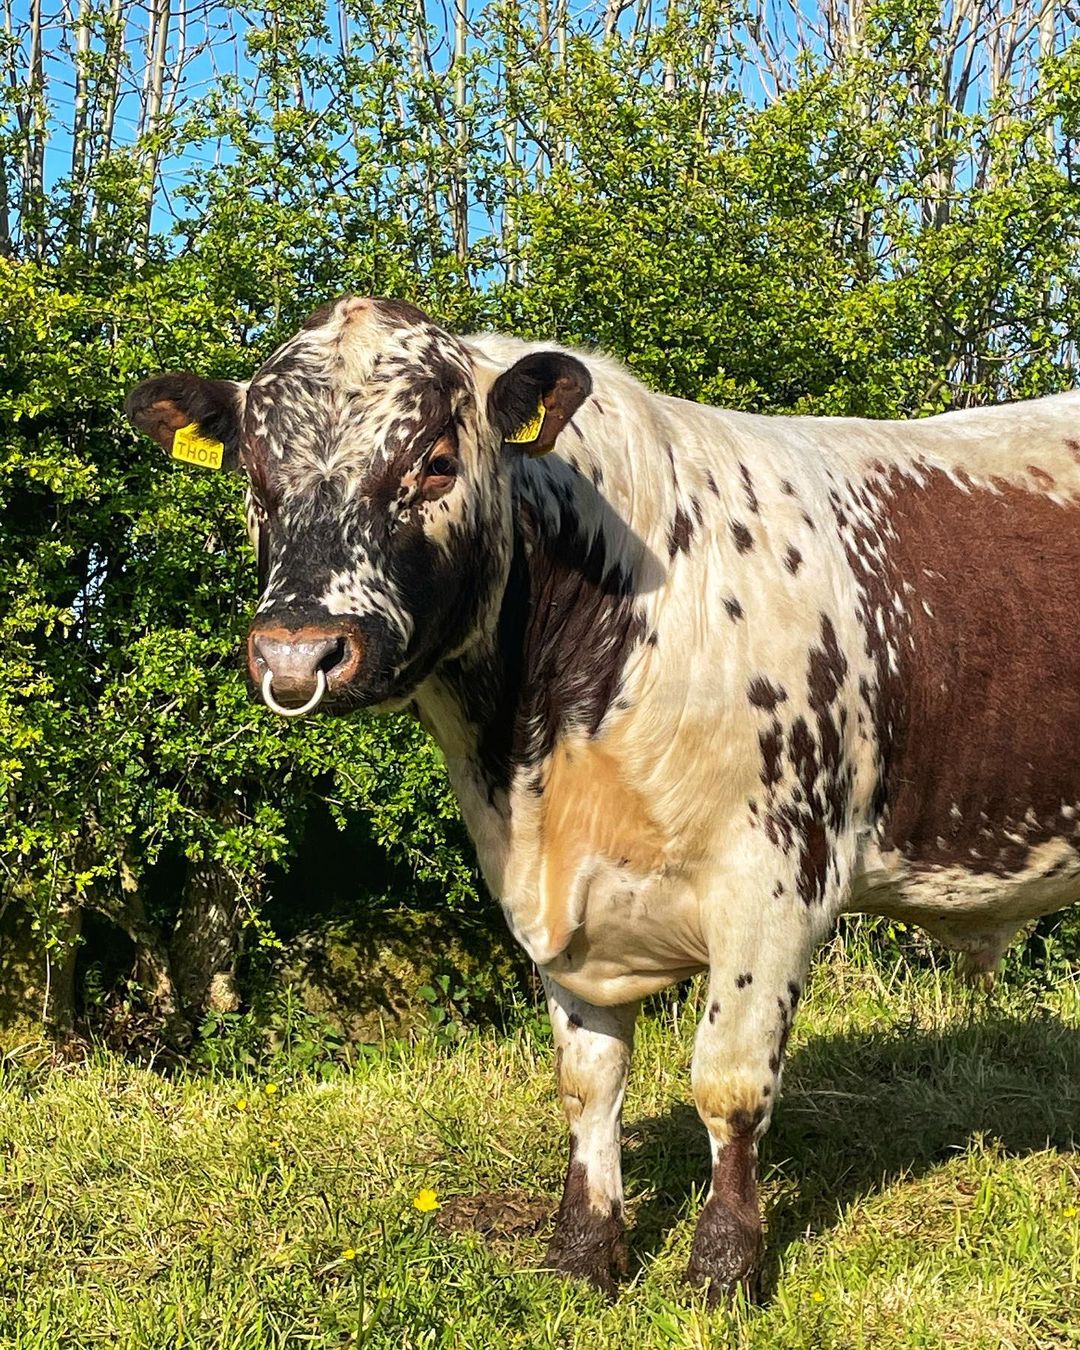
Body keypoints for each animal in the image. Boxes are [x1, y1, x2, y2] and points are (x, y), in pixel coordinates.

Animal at [126, 295, 1080, 1296]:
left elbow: (729, 1085)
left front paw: (723, 1268)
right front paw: (583, 1252)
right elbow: (589, 1082)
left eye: (434, 462)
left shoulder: (778, 879)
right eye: (255, 473)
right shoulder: (552, 900)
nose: (298, 652)